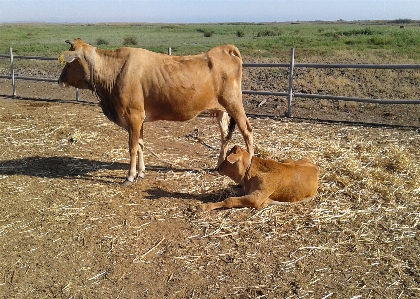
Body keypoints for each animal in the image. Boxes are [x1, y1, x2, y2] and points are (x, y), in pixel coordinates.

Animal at [56, 39, 253, 185]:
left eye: (70, 62)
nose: (59, 80)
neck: (115, 71)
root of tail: (224, 49)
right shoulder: (138, 119)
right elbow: (141, 145)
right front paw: (141, 172)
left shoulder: (134, 116)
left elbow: (132, 147)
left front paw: (130, 176)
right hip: (221, 111)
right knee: (225, 136)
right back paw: (219, 165)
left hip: (234, 104)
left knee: (247, 132)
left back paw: (249, 165)